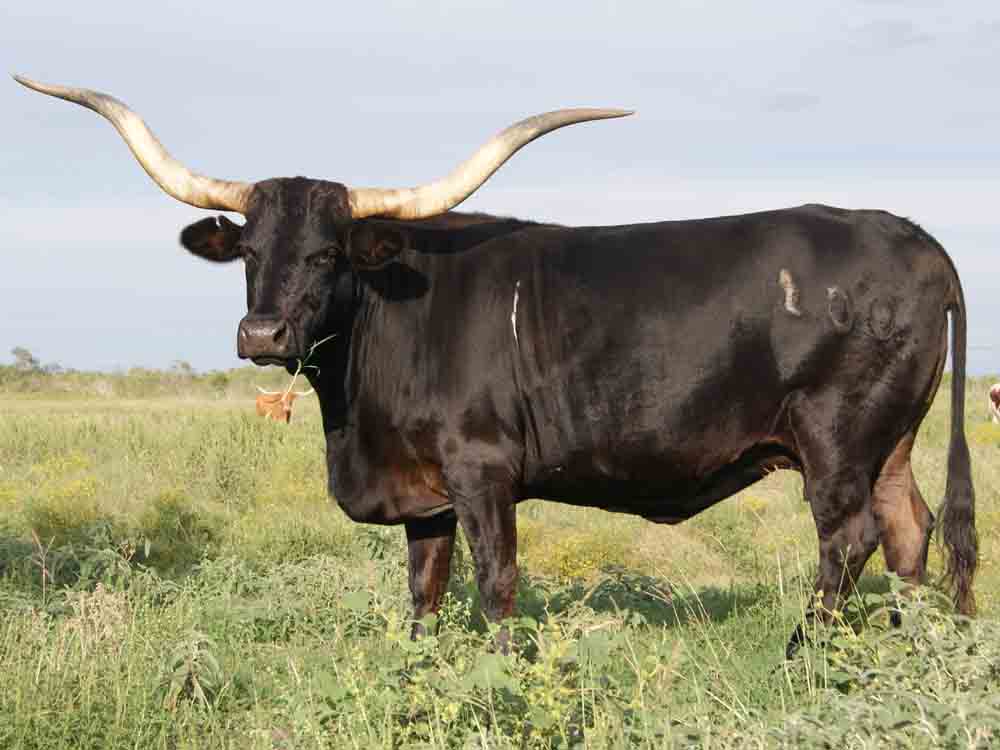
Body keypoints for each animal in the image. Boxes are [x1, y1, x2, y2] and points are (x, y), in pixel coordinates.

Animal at [17, 75, 977, 656]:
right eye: (249, 250)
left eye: (329, 253)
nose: (260, 334)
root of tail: (912, 234)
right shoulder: (425, 495)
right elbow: (424, 593)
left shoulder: (484, 472)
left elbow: (497, 587)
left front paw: (504, 671)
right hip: (889, 442)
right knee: (911, 531)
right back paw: (916, 652)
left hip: (836, 438)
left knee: (847, 539)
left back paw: (799, 656)